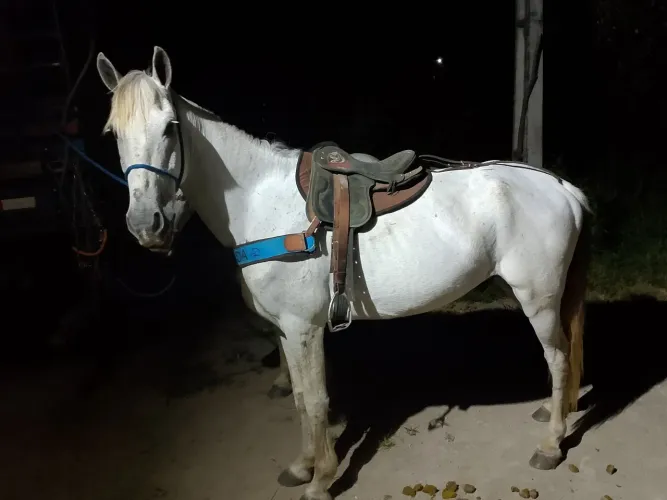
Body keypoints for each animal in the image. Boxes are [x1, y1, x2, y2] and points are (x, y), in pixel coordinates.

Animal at [95, 46, 591, 500]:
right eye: (112, 133)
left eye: (169, 127)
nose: (145, 224)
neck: (259, 203)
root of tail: (564, 187)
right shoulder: (286, 330)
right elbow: (299, 398)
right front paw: (302, 466)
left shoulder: (304, 328)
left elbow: (316, 401)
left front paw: (322, 479)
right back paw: (550, 411)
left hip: (539, 297)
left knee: (558, 356)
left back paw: (551, 444)